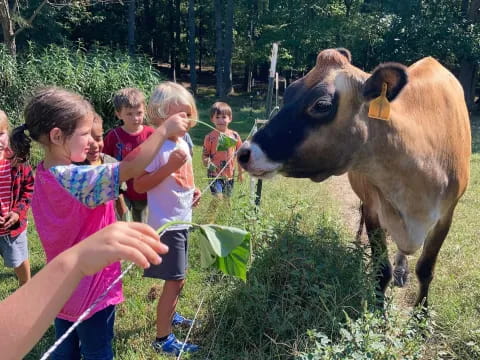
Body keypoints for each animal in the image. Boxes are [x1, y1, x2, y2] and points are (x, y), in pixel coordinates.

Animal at [238, 47, 470, 306]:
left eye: (321, 105)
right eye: (288, 93)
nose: (244, 153)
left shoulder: (446, 215)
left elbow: (426, 270)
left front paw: (421, 311)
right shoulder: (373, 208)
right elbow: (381, 269)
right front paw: (378, 308)